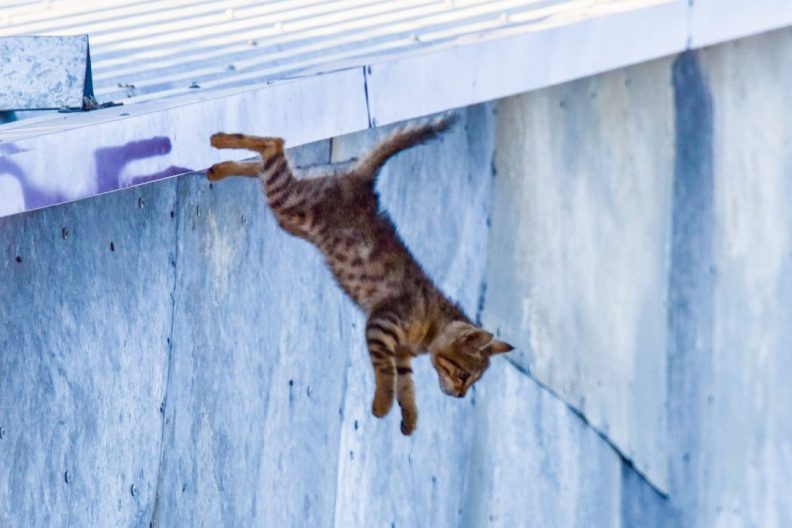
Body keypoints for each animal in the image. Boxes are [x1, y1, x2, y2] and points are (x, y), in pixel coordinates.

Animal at [207, 116, 512, 438]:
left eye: (473, 381)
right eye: (464, 375)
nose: (461, 396)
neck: (430, 325)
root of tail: (361, 182)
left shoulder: (402, 354)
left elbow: (407, 385)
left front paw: (409, 419)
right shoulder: (382, 326)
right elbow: (386, 372)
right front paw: (382, 404)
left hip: (294, 204)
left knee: (267, 166)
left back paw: (218, 168)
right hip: (290, 205)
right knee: (274, 145)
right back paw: (220, 141)